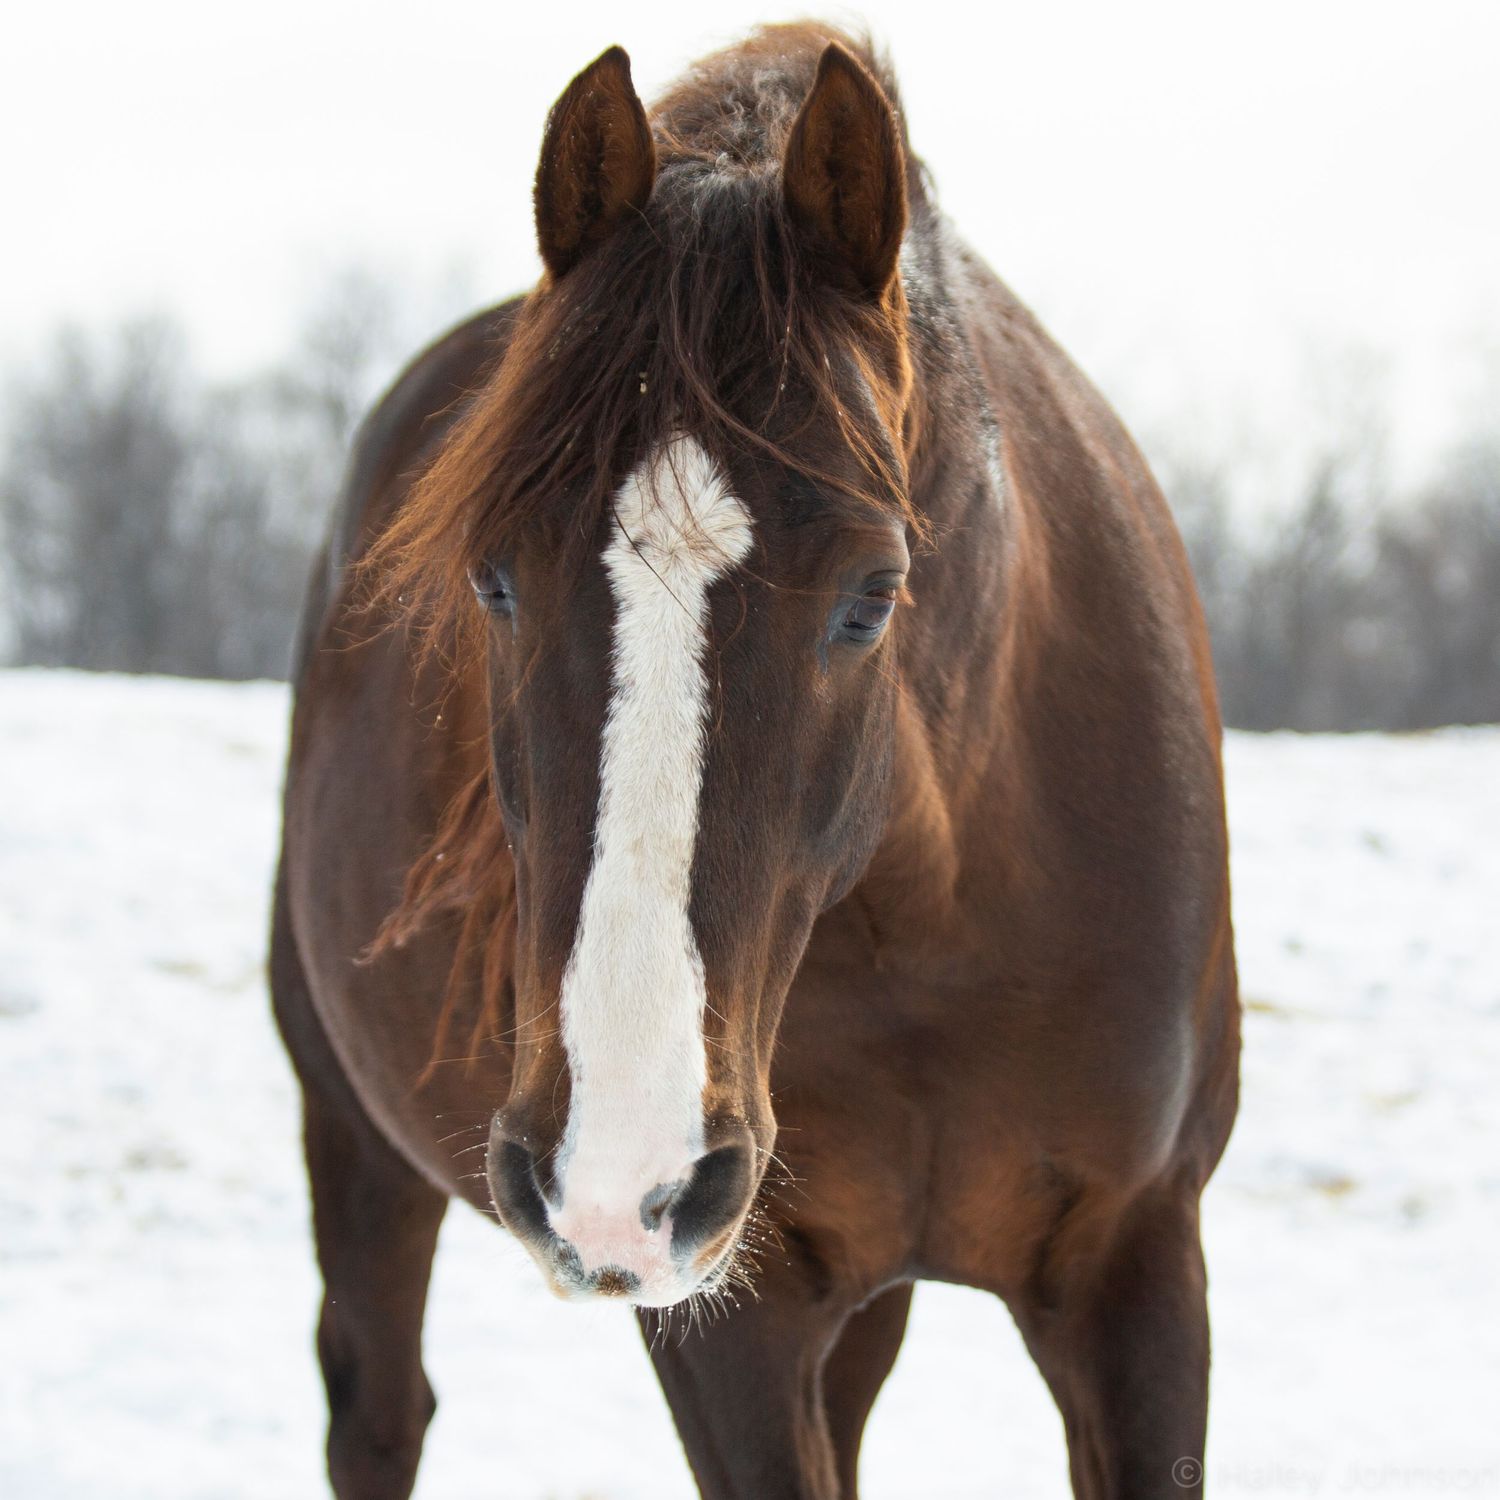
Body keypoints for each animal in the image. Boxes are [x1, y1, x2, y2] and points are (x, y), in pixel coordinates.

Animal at [271, 22, 1240, 1500]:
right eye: (493, 580)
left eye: (872, 595)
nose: (617, 1171)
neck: (942, 917)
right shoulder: (738, 1314)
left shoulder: (1138, 1264)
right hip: (357, 1145)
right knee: (377, 1413)